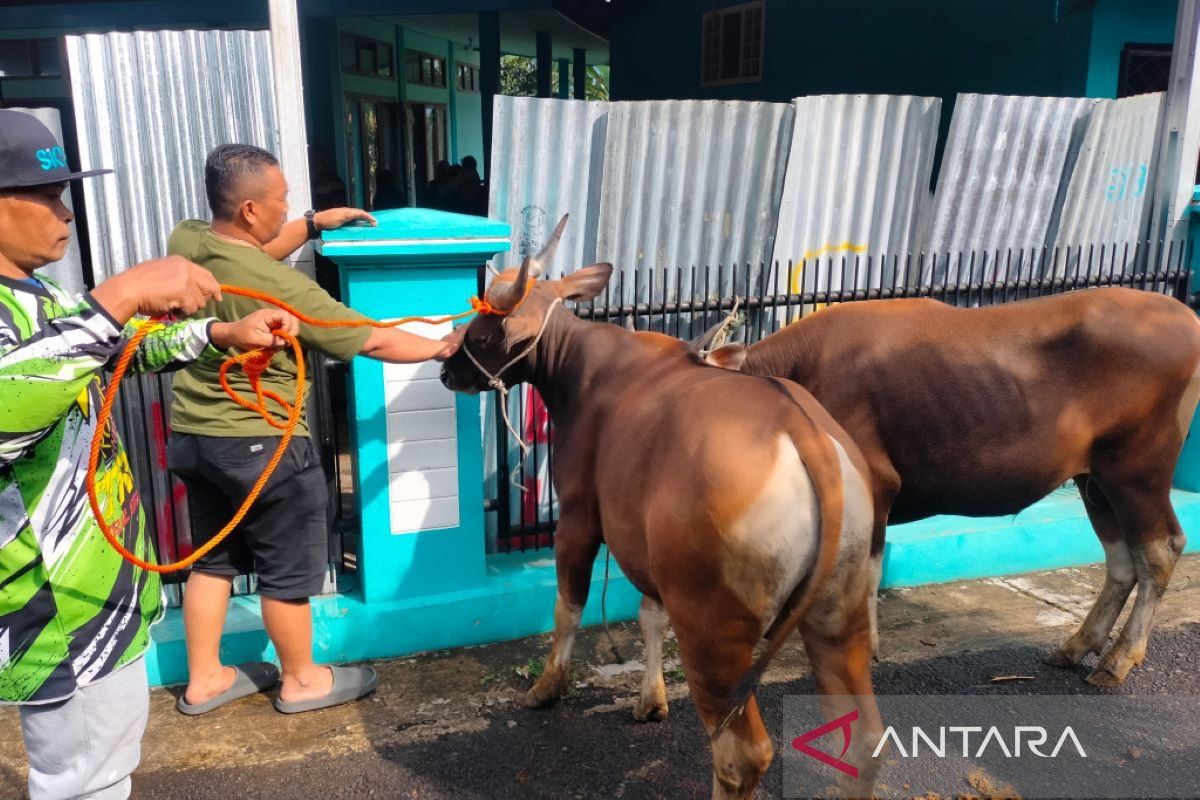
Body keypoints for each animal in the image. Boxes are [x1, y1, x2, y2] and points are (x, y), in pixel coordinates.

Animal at [441, 219, 883, 800]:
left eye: (481, 334)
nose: (447, 370)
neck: (583, 372)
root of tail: (809, 439)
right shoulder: (647, 547)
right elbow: (649, 616)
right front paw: (651, 700)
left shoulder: (579, 518)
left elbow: (568, 606)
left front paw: (547, 687)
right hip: (838, 614)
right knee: (863, 738)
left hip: (715, 632)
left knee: (741, 753)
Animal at [700, 289, 1200, 690]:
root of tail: (1186, 318)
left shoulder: (876, 485)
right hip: (1094, 478)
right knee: (1122, 560)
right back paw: (1078, 646)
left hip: (1136, 470)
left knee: (1159, 550)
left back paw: (1118, 660)